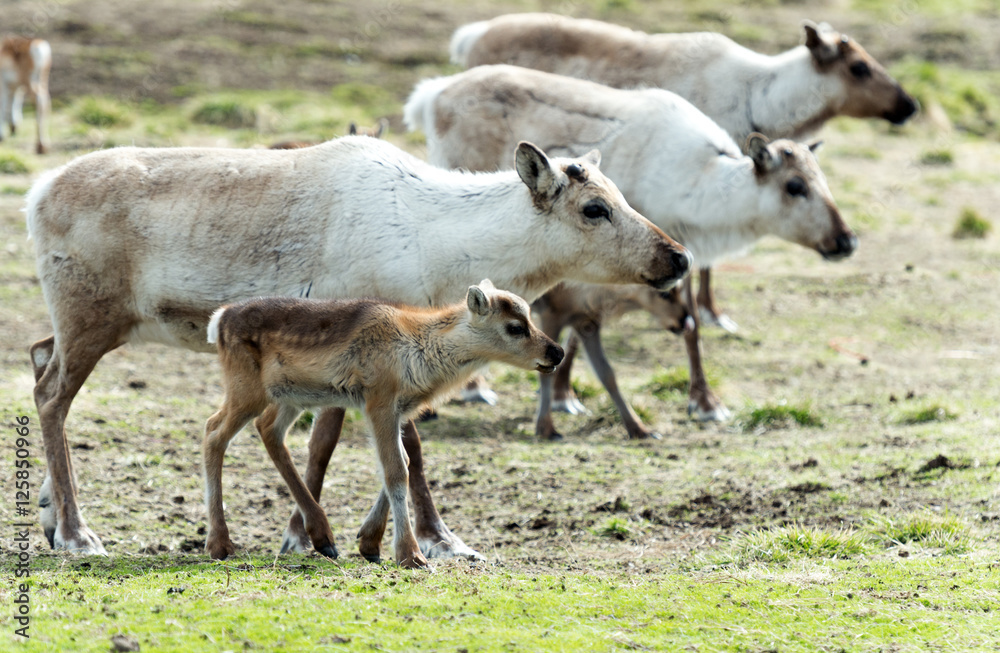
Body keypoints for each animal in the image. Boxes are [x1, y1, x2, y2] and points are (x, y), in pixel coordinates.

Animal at [204, 281, 563, 568]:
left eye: (530, 317)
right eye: (515, 327)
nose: (556, 352)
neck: (419, 350)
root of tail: (218, 320)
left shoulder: (400, 409)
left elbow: (402, 461)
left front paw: (369, 542)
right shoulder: (379, 399)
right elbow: (395, 470)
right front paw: (410, 555)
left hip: (289, 396)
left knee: (267, 430)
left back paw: (323, 538)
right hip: (247, 388)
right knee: (213, 432)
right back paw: (220, 544)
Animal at [404, 64, 855, 435]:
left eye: (824, 180)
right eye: (795, 186)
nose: (847, 240)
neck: (697, 186)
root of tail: (433, 92)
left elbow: (685, 321)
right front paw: (704, 404)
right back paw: (473, 387)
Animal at [451, 14, 915, 332]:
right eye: (859, 68)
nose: (910, 105)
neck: (761, 97)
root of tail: (469, 36)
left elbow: (704, 266)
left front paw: (713, 313)